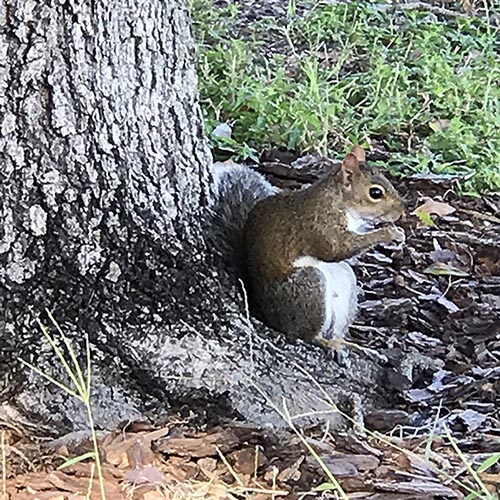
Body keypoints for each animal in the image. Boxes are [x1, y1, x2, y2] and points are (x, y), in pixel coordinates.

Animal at [209, 145, 404, 346]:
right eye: (375, 193)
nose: (401, 211)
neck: (340, 202)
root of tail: (263, 309)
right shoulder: (320, 225)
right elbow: (336, 249)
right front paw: (388, 233)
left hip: (344, 281)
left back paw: (346, 343)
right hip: (308, 286)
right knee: (307, 335)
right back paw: (330, 343)